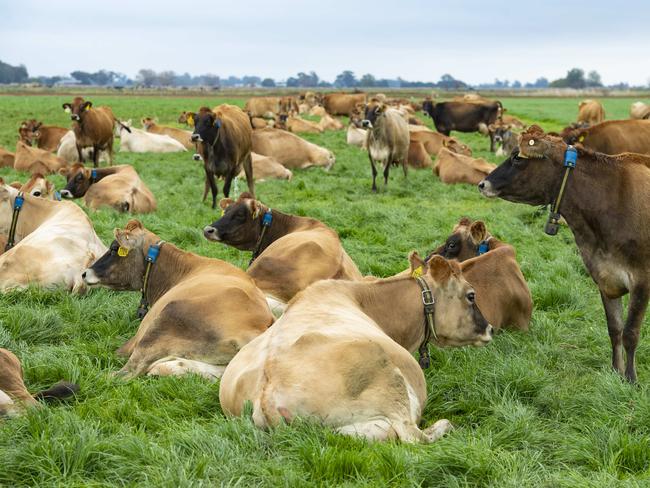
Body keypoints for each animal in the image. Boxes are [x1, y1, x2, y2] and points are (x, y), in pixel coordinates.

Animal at [218, 252, 492, 442]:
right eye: (471, 295)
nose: (489, 328)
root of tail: (266, 394)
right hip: (385, 374)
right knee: (412, 435)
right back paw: (446, 425)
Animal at [476, 123, 650, 382]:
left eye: (517, 157)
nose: (482, 184)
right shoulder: (605, 277)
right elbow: (615, 329)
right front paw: (615, 372)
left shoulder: (642, 280)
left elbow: (630, 333)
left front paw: (630, 380)